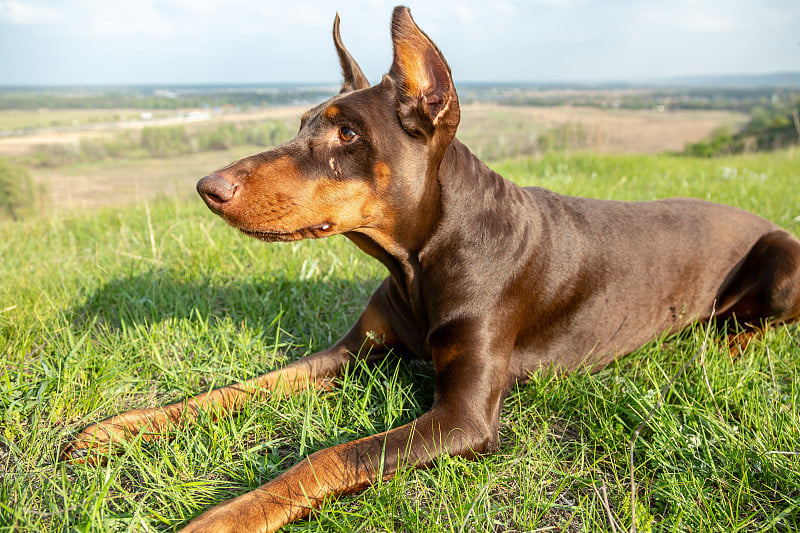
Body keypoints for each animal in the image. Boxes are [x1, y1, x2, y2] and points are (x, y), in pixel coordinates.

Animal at [64, 5, 800, 532]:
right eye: (302, 123)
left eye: (348, 133)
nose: (208, 186)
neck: (424, 258)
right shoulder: (351, 351)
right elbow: (244, 387)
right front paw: (118, 429)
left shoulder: (464, 419)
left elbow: (331, 454)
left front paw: (224, 516)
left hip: (782, 260)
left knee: (763, 325)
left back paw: (719, 346)